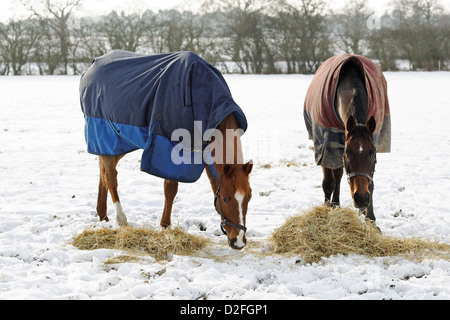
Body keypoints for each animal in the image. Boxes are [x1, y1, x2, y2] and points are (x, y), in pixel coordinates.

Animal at [97, 112, 253, 250]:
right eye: (225, 199)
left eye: (249, 197)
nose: (239, 242)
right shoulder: (170, 150)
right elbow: (170, 188)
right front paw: (165, 225)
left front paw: (165, 225)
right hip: (110, 139)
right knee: (110, 176)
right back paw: (120, 218)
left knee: (103, 172)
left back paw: (102, 215)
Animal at [306, 55, 390, 222]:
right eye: (348, 153)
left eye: (373, 153)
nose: (361, 198)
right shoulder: (326, 146)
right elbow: (328, 182)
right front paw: (327, 209)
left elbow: (371, 183)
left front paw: (370, 218)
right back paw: (334, 203)